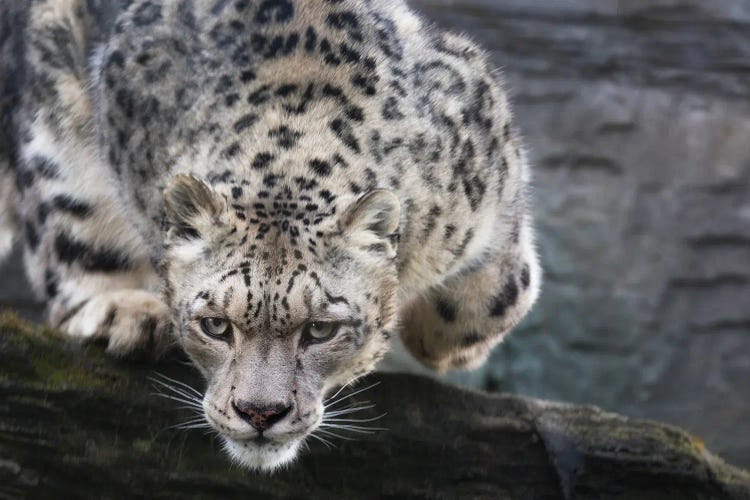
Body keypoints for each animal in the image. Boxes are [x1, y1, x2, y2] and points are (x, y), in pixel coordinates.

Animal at [0, 0, 540, 470]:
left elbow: (488, 298)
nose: (260, 413)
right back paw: (125, 312)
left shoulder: (492, 162)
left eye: (320, 329)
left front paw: (443, 342)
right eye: (215, 325)